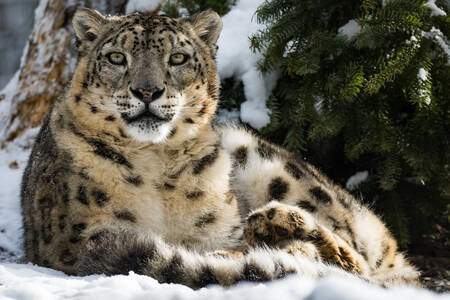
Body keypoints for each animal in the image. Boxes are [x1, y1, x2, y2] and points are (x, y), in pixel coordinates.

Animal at [20, 8, 422, 288]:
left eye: (178, 58)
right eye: (117, 57)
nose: (148, 91)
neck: (154, 165)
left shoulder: (221, 230)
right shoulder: (77, 241)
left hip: (266, 162)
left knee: (358, 259)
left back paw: (277, 221)